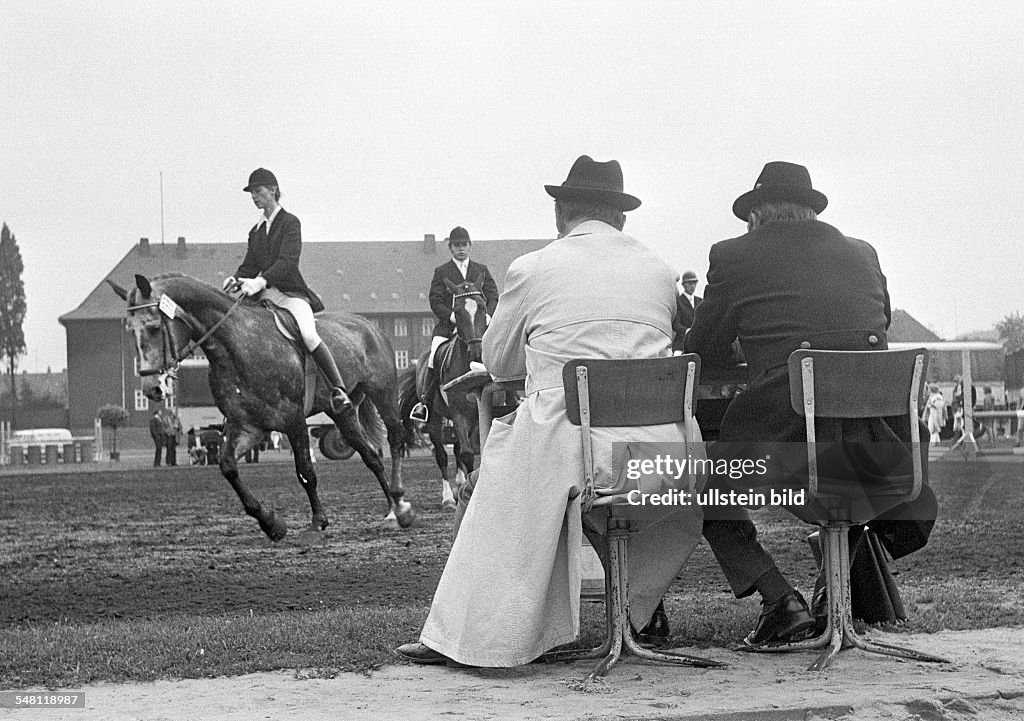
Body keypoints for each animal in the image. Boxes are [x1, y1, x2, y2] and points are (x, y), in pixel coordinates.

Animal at [112, 272, 411, 536]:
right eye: (129, 330)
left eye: (153, 328)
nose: (151, 388)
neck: (238, 346)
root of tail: (369, 325)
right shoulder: (248, 425)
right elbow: (228, 467)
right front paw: (271, 523)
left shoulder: (293, 419)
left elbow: (305, 471)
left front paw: (318, 520)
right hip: (343, 413)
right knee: (372, 456)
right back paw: (392, 509)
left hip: (384, 395)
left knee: (396, 440)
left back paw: (402, 505)